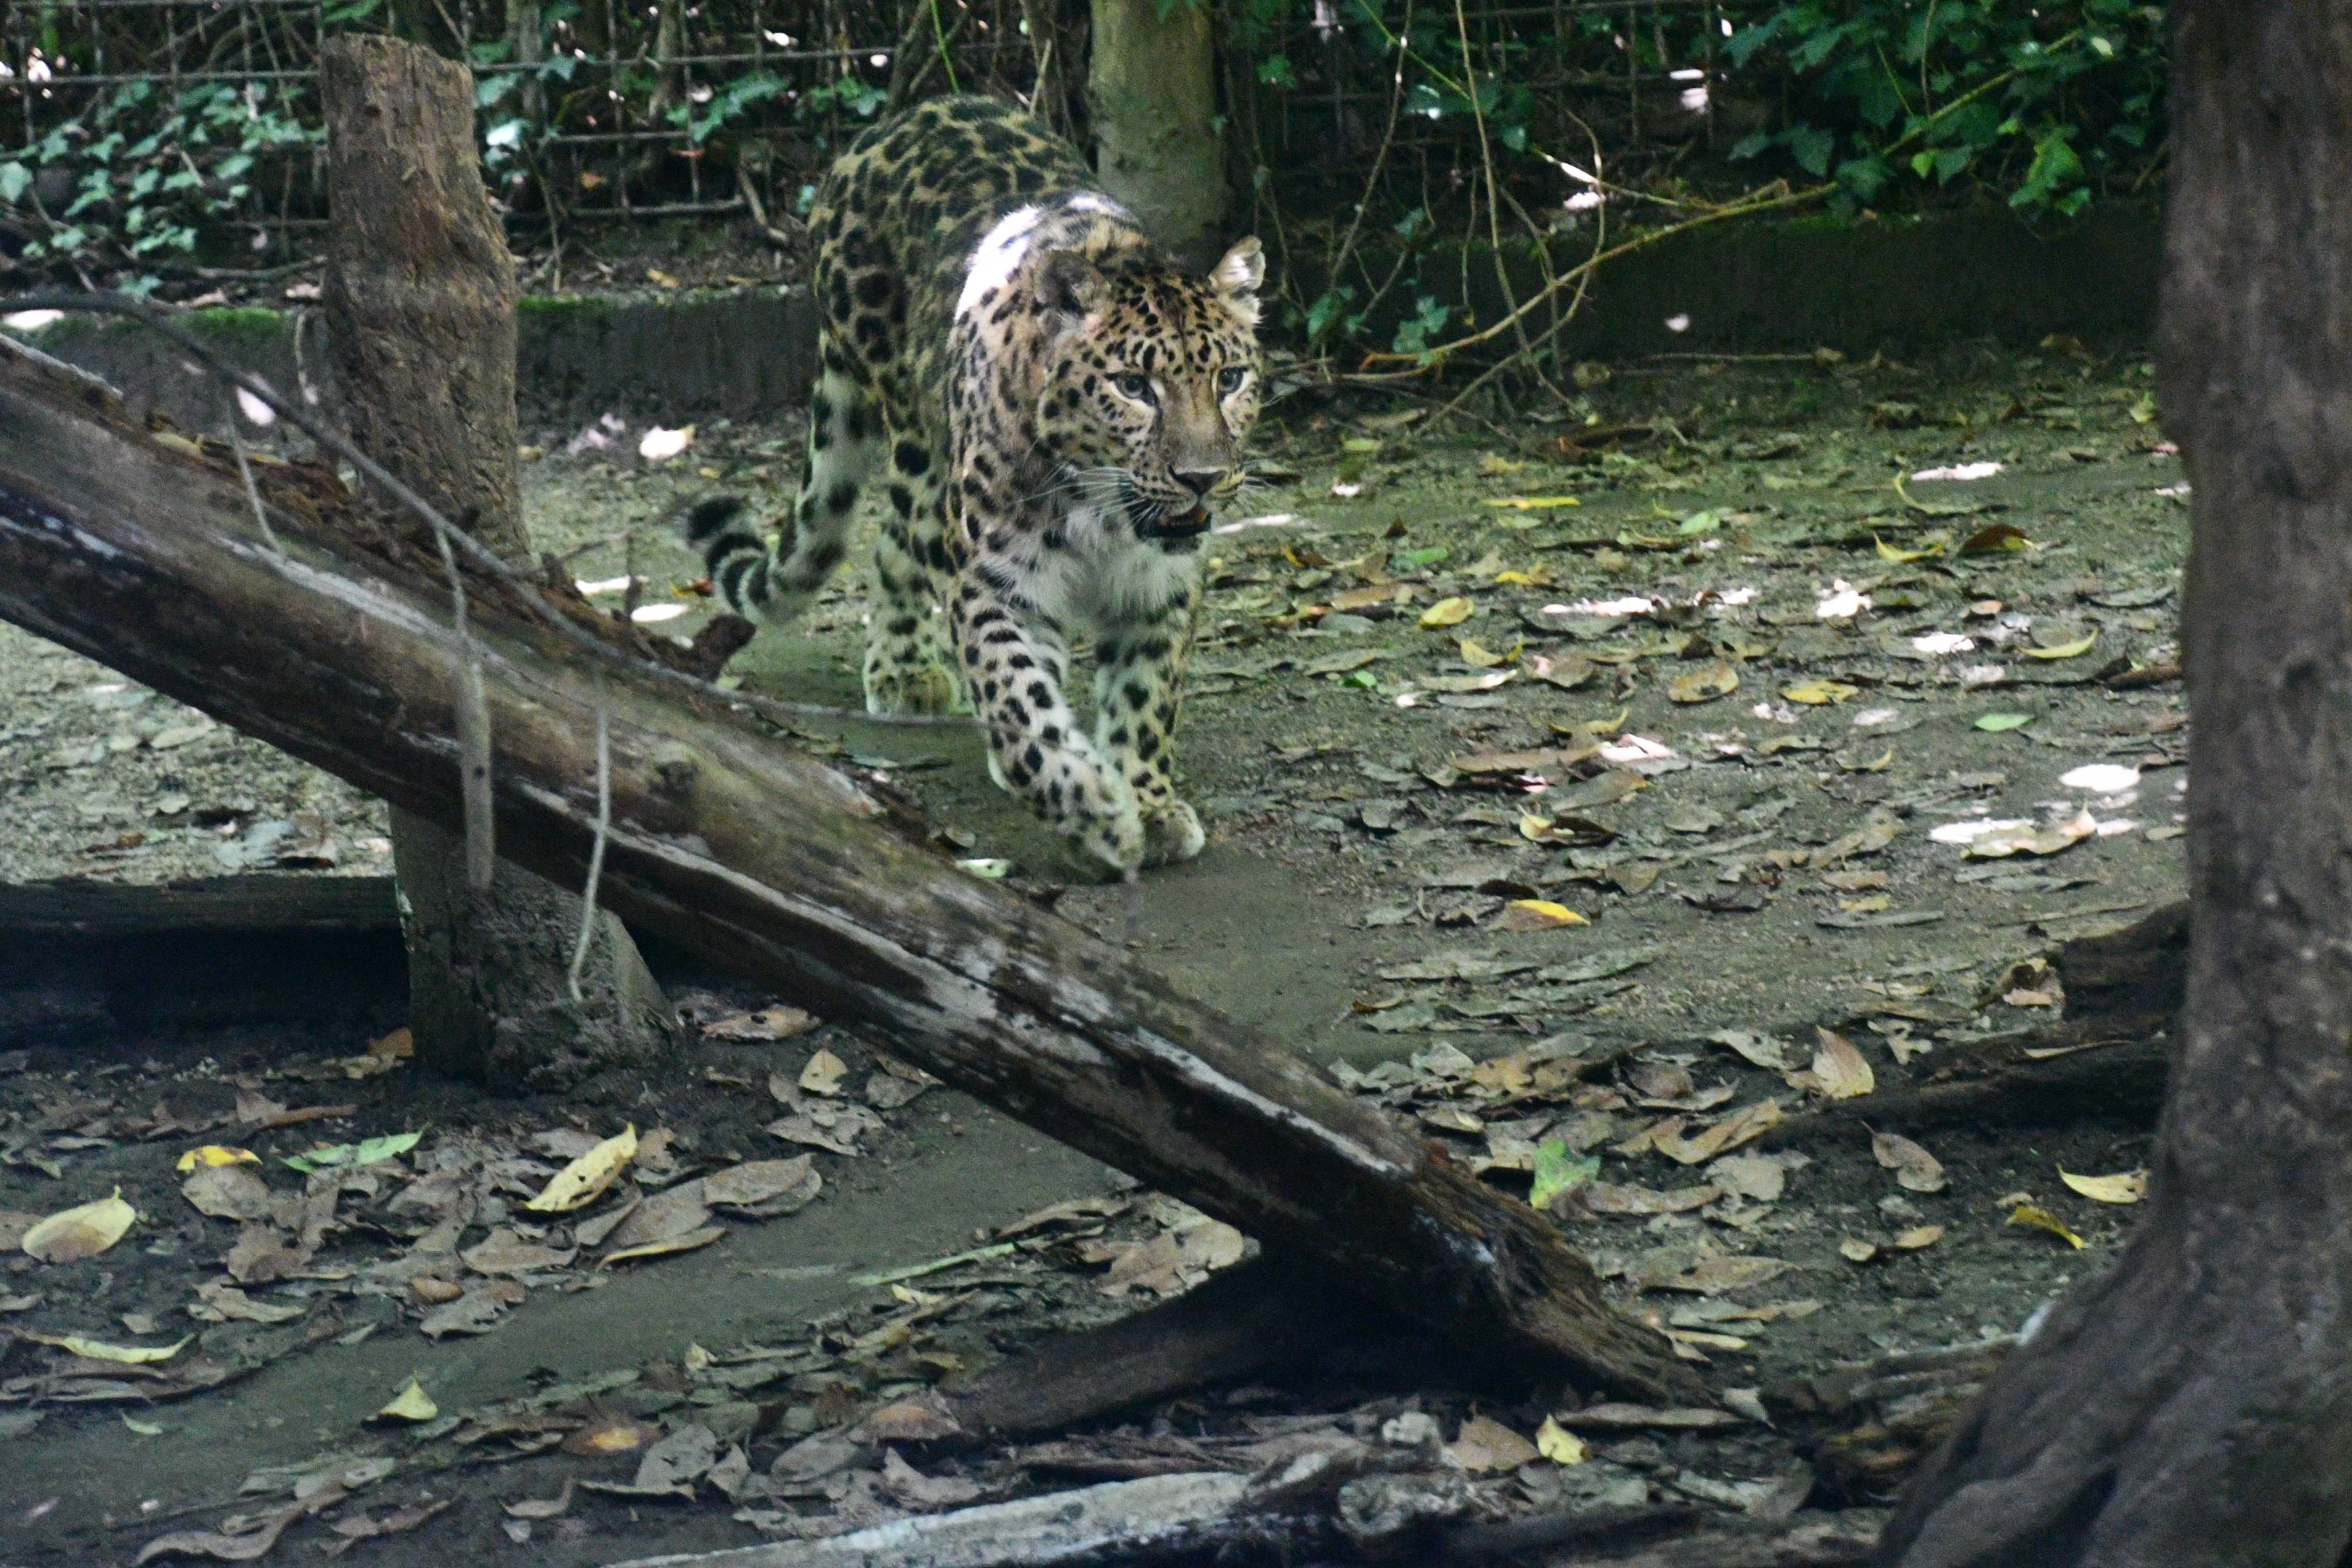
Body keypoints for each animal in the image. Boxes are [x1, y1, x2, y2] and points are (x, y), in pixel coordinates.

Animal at [685, 94, 1264, 876]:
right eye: (1134, 386)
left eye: (1229, 379)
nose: (1202, 478)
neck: (1104, 513)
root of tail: (897, 120)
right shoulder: (997, 582)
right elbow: (1019, 699)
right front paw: (1095, 812)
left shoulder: (1162, 588)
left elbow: (1145, 698)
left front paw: (1147, 803)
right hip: (916, 440)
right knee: (898, 541)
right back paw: (905, 671)